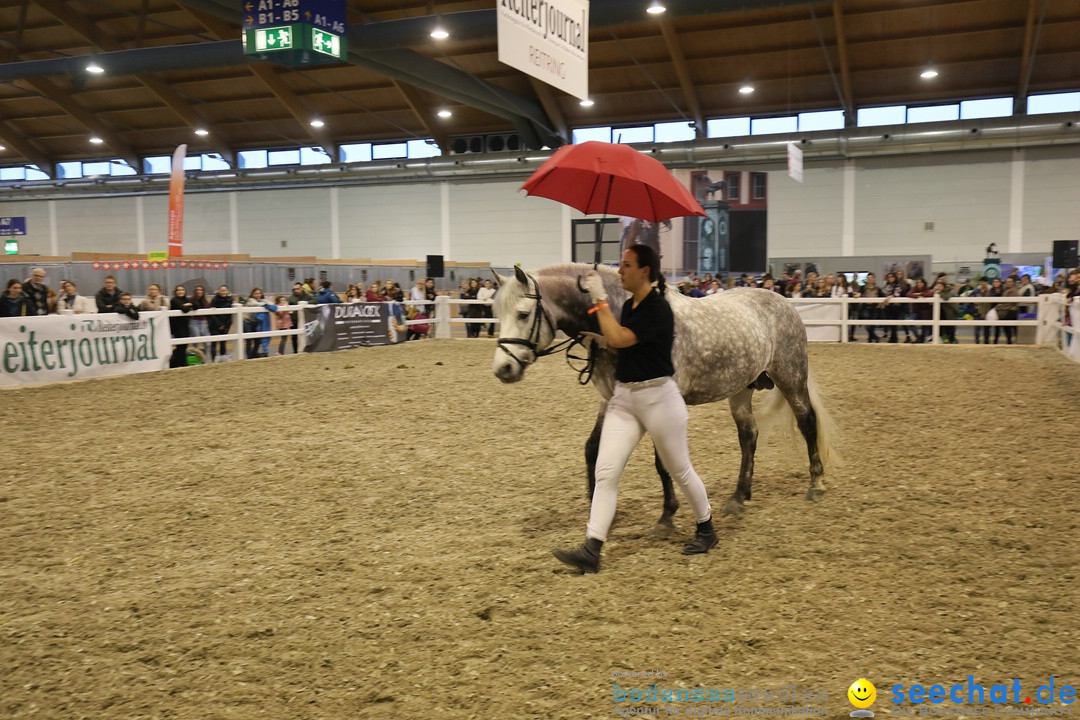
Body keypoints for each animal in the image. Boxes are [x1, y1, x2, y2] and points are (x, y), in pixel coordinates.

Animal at [490, 263, 833, 528]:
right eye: (497, 314)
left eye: (523, 314)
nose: (503, 368)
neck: (624, 321)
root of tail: (783, 301)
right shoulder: (610, 398)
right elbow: (592, 449)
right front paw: (596, 507)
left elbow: (662, 461)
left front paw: (667, 515)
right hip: (740, 389)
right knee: (748, 436)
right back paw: (739, 496)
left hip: (790, 377)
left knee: (807, 423)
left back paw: (816, 484)